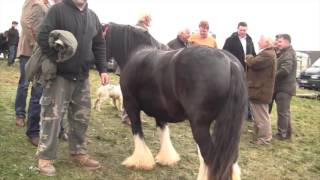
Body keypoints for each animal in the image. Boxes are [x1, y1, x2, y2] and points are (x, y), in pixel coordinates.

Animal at [105, 22, 248, 180]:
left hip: (200, 126)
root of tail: (230, 63)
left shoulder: (131, 106)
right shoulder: (160, 111)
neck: (136, 52)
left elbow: (137, 132)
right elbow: (163, 132)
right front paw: (166, 158)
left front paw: (140, 161)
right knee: (230, 159)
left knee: (210, 157)